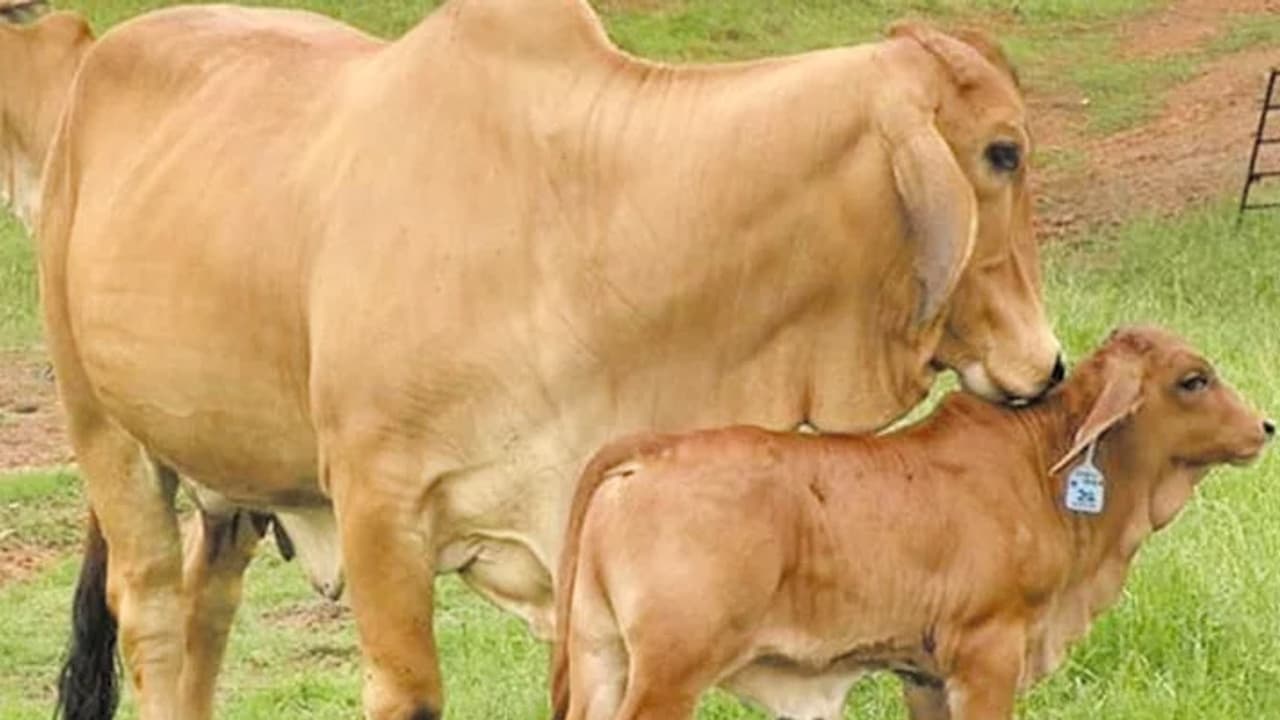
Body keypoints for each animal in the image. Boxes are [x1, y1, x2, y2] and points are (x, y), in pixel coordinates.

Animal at [41, 1, 1063, 718]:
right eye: (1003, 152)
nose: (1050, 365)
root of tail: (98, 62)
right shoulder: (378, 504)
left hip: (229, 479)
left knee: (207, 611)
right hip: (102, 429)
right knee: (153, 613)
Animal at [551, 325, 1274, 720]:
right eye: (1193, 380)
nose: (1265, 427)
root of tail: (649, 450)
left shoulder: (925, 675)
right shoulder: (988, 651)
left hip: (599, 657)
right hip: (668, 672)